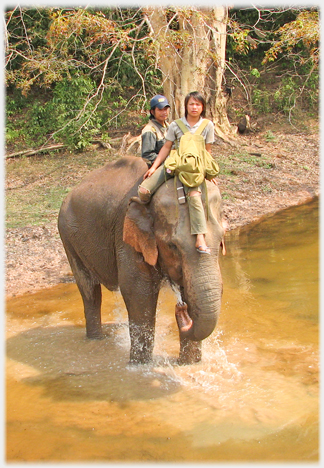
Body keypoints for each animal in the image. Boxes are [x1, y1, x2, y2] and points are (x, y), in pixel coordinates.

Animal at [58, 155, 225, 364]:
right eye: (172, 246)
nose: (181, 310)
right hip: (67, 236)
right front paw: (139, 366)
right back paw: (95, 339)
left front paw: (189, 365)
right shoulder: (126, 234)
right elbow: (137, 291)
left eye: (221, 239)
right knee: (89, 290)